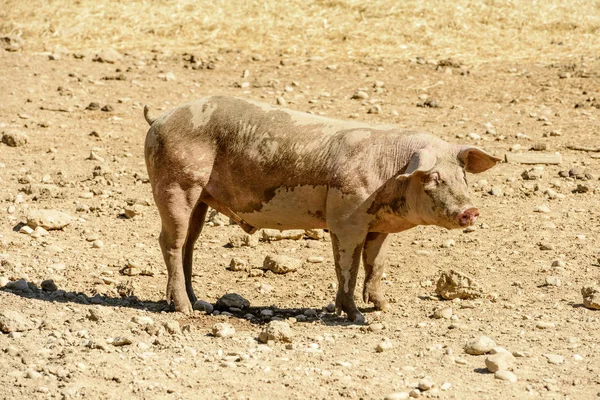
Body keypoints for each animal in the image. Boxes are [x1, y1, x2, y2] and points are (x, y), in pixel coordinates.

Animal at [143, 96, 500, 322]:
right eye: (432, 178)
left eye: (463, 175)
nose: (471, 211)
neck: (392, 171)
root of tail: (159, 117)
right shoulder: (346, 217)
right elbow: (347, 267)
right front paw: (356, 317)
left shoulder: (377, 227)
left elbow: (376, 264)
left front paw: (383, 307)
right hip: (176, 183)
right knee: (170, 241)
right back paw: (185, 310)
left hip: (201, 197)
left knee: (189, 243)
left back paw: (198, 302)